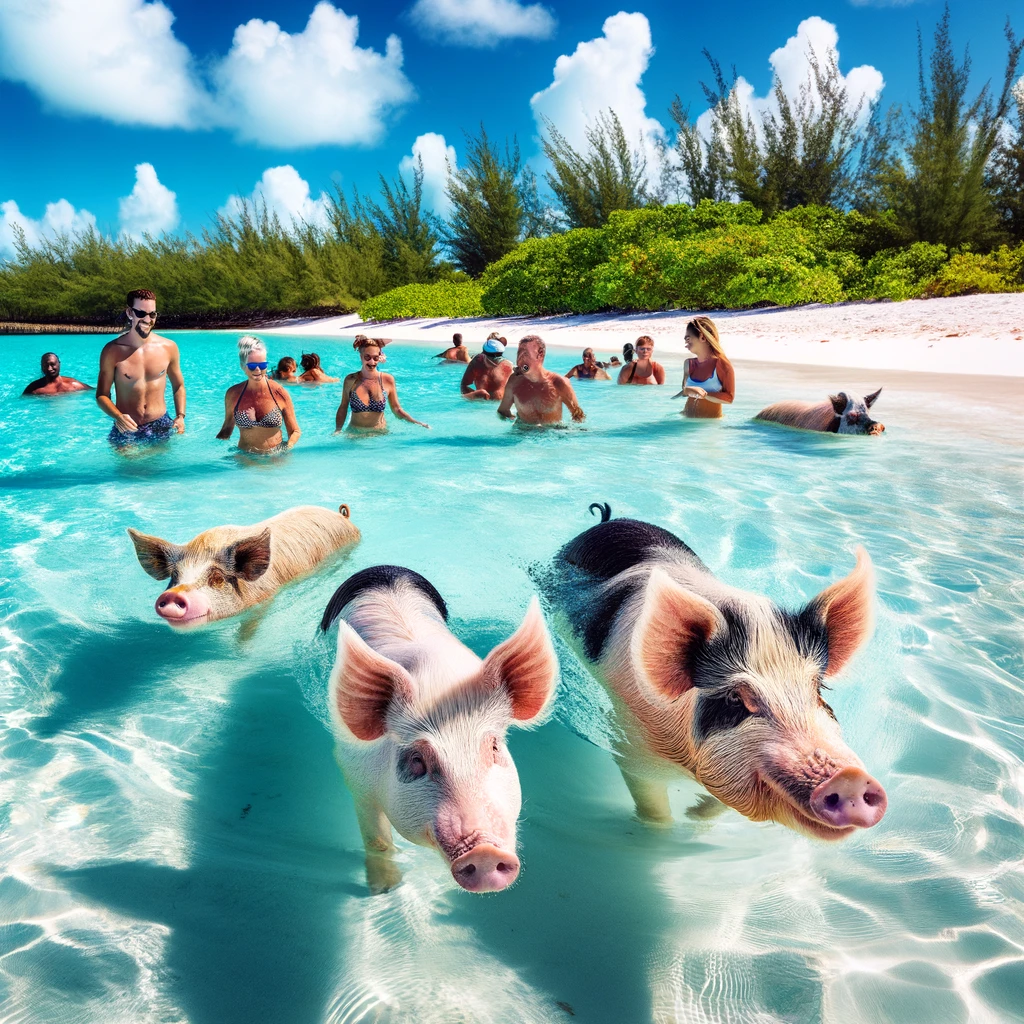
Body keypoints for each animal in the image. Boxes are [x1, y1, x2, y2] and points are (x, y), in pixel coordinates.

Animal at [321, 569, 557, 897]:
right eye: (417, 760)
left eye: (494, 747)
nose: (485, 853)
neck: (439, 685)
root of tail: (384, 567)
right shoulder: (355, 776)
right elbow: (377, 841)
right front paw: (385, 890)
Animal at [544, 503, 888, 839]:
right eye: (736, 699)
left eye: (817, 688)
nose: (850, 777)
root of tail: (607, 521)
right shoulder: (632, 746)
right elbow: (651, 804)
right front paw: (665, 835)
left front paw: (694, 819)